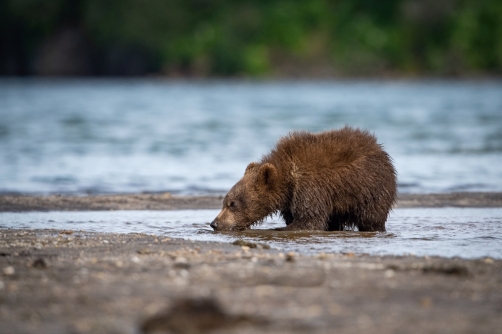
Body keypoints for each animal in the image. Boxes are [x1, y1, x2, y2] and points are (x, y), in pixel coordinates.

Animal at [210, 127, 398, 232]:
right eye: (225, 201)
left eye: (232, 204)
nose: (214, 223)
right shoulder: (291, 198)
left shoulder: (311, 186)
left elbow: (310, 218)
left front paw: (280, 227)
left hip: (370, 189)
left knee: (371, 218)